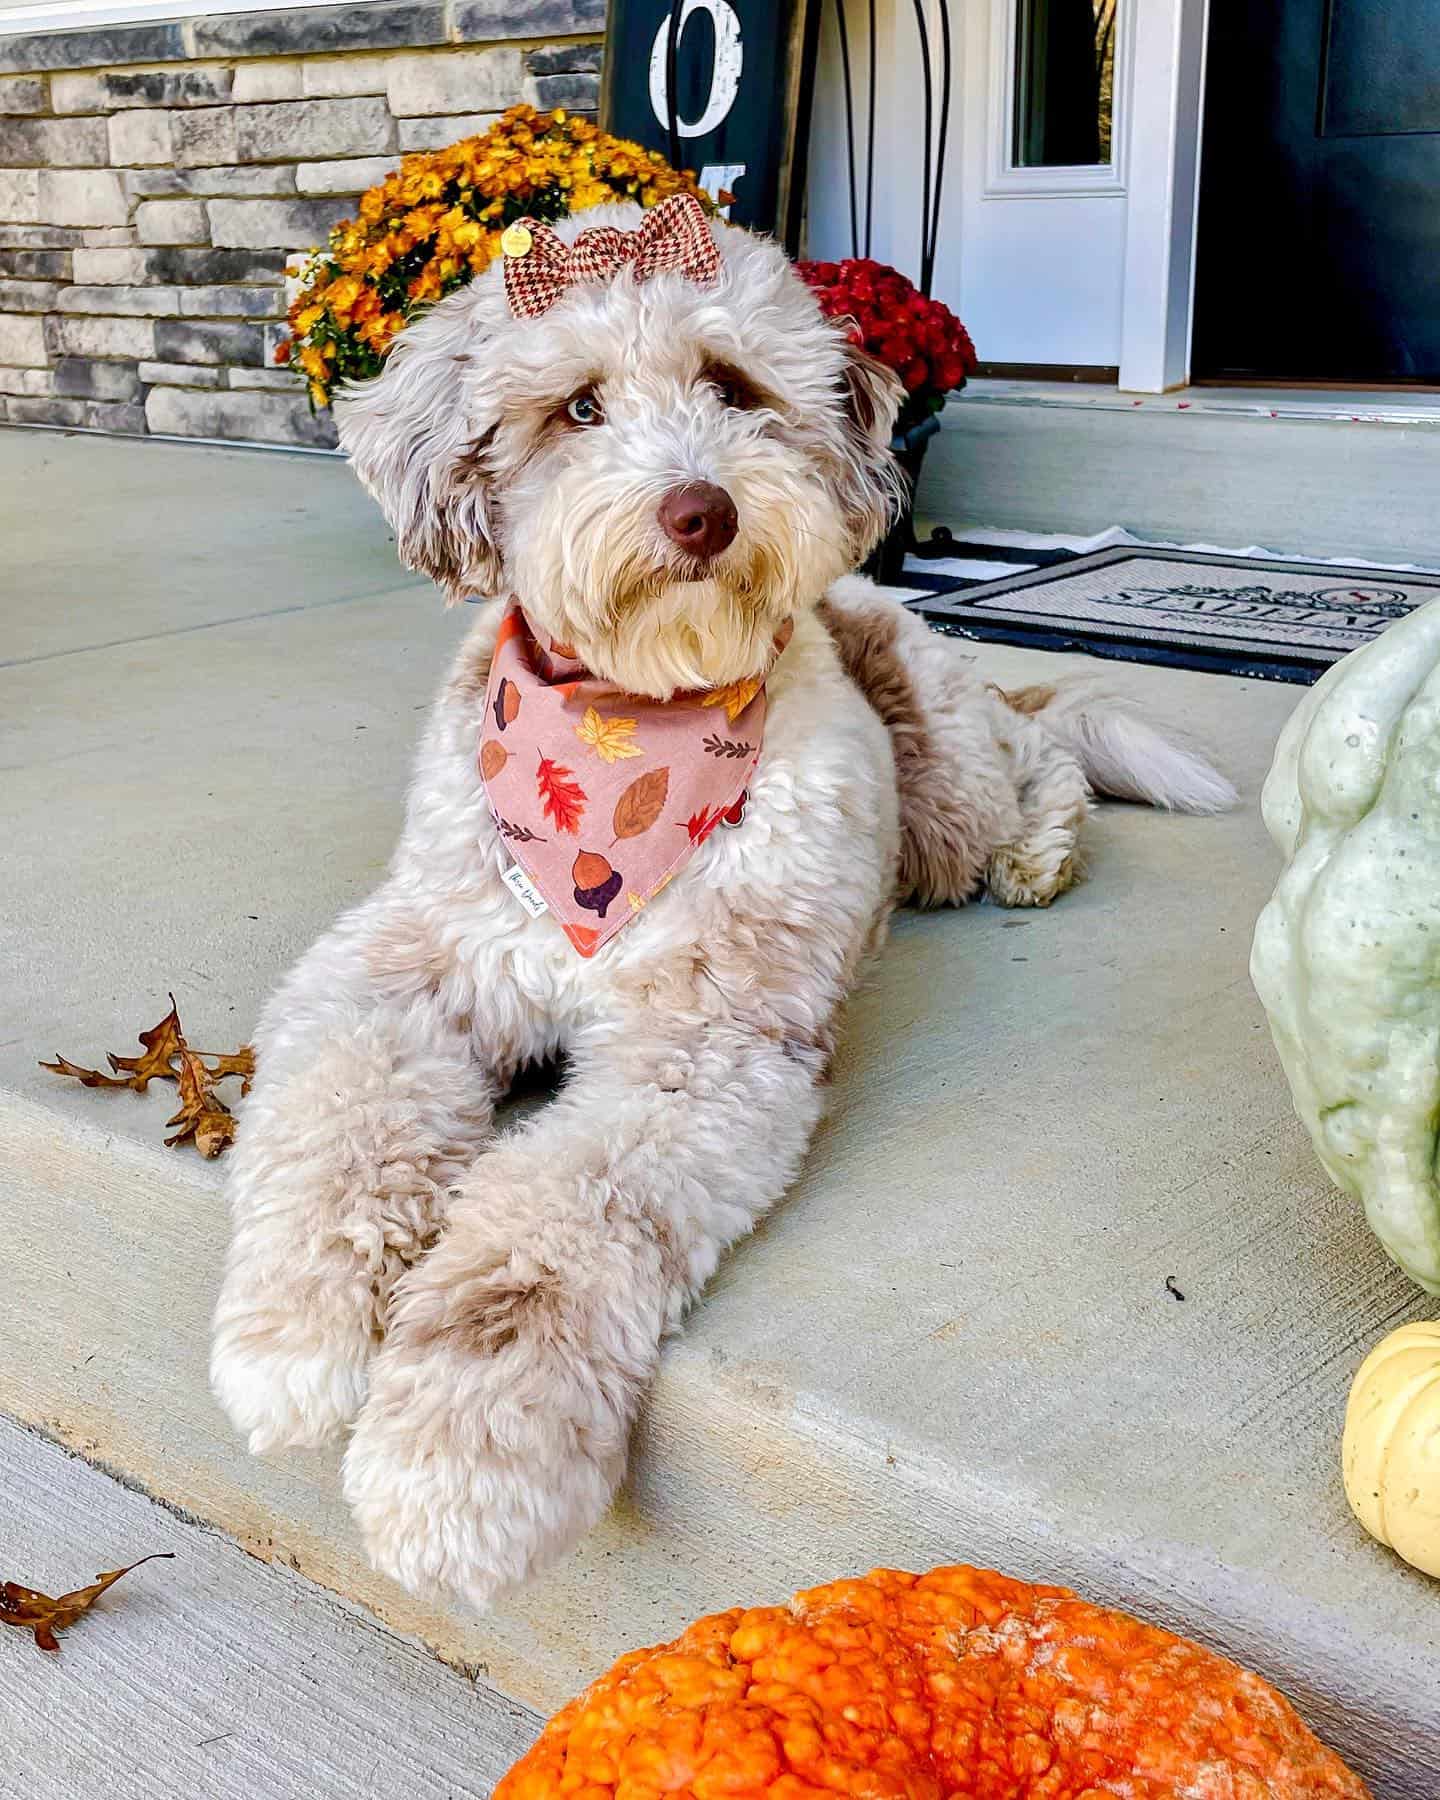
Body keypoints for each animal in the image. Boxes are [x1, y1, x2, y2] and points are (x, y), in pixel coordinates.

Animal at [207, 197, 1231, 1605]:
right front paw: (294, 1339)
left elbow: (544, 1228)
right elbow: (338, 1122)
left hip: (944, 779)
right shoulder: (398, 966)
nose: (700, 512)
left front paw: (460, 1466)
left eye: (734, 386)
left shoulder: (699, 1047)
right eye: (577, 407)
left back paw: (1040, 853)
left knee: (1043, 755)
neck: (630, 724)